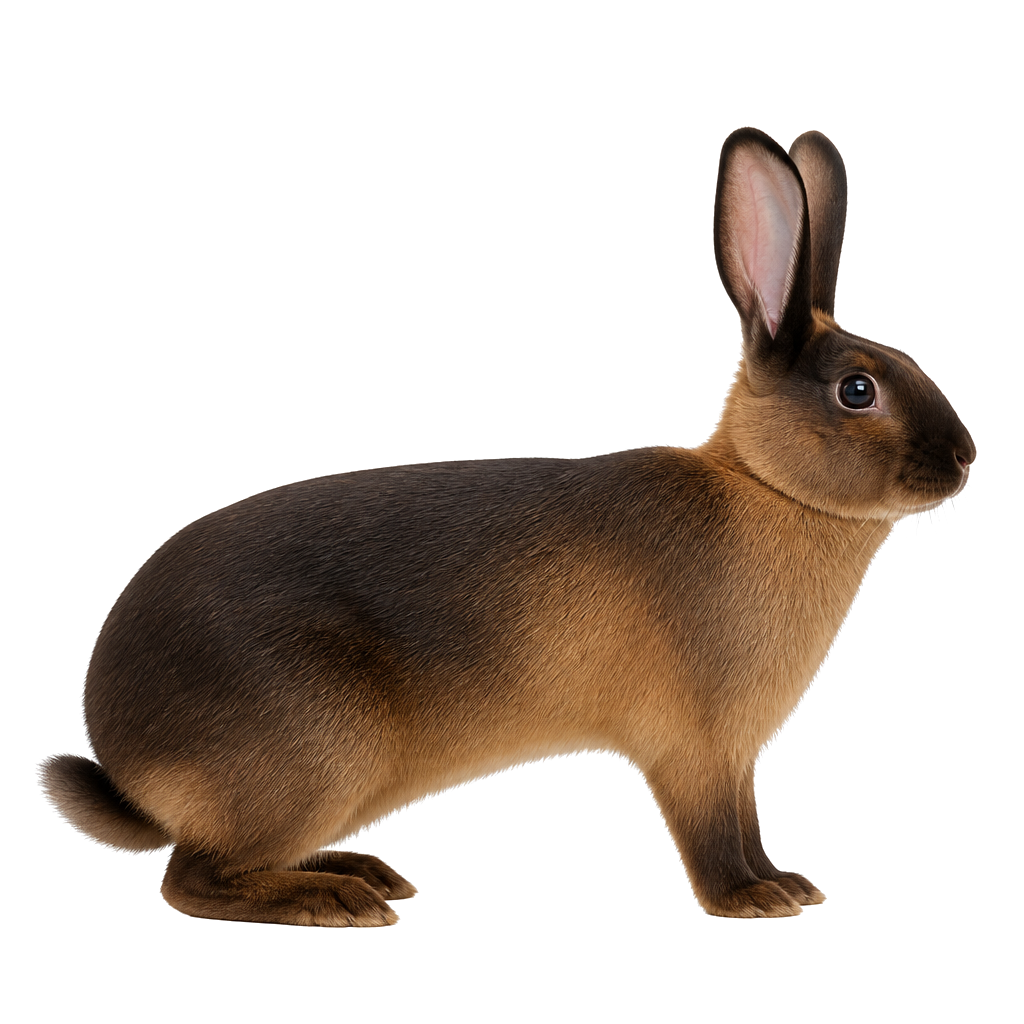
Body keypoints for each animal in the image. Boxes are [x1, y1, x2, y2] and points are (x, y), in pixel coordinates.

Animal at [42, 128, 975, 926]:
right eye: (859, 389)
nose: (967, 458)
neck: (766, 488)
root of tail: (124, 763)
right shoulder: (697, 751)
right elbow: (714, 840)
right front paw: (754, 900)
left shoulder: (732, 758)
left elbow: (746, 827)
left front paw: (786, 883)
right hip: (317, 754)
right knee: (190, 878)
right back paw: (335, 901)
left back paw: (361, 873)